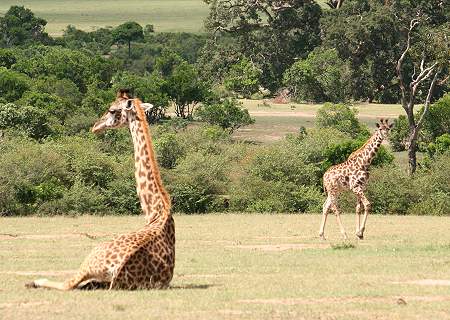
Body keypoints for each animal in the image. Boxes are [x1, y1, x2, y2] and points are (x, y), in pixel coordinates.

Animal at [25, 90, 175, 290]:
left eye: (112, 110)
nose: (95, 127)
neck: (156, 212)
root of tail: (117, 268)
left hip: (91, 257)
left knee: (68, 284)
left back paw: (35, 280)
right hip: (103, 279)